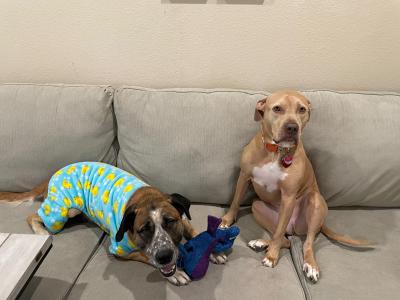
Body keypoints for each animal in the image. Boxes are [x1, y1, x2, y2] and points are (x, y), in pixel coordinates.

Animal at [0, 162, 225, 286]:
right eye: (143, 230)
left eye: (170, 221)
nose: (164, 256)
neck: (146, 198)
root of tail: (53, 174)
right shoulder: (120, 249)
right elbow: (145, 255)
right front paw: (175, 273)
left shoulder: (183, 218)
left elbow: (196, 233)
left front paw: (213, 251)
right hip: (64, 211)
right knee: (33, 216)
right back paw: (40, 232)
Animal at [220, 90, 370, 282]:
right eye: (277, 108)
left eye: (302, 109)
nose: (292, 127)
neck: (276, 151)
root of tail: (294, 228)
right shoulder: (244, 176)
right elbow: (235, 202)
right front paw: (226, 221)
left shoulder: (289, 196)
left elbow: (279, 234)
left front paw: (272, 256)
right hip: (257, 207)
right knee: (285, 239)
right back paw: (261, 242)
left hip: (315, 203)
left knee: (304, 242)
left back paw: (309, 265)